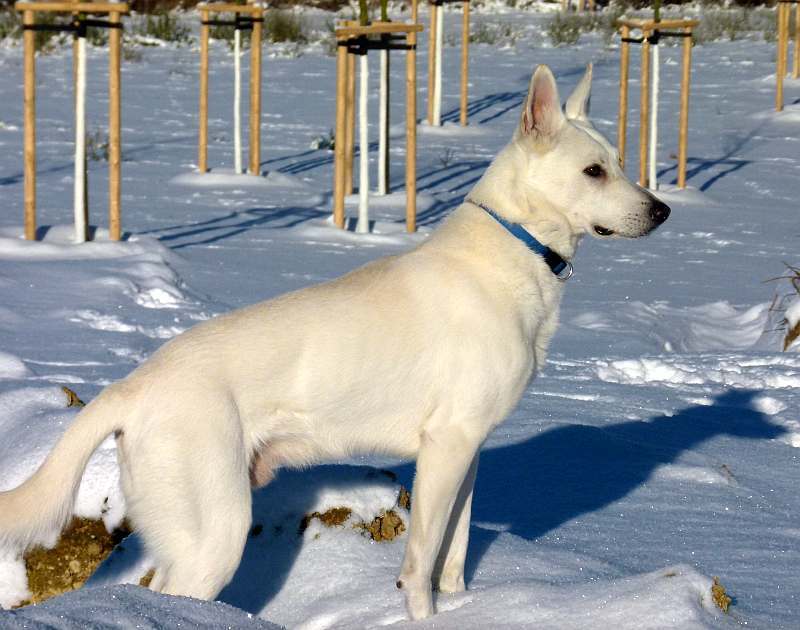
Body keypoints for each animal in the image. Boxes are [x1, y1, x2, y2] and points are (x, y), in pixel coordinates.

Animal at [0, 65, 668, 624]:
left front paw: (464, 608)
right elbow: (421, 563)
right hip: (216, 531)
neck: (516, 247)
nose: (662, 211)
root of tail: (133, 384)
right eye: (593, 171)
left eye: (620, 162)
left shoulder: (469, 453)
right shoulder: (445, 448)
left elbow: (453, 555)